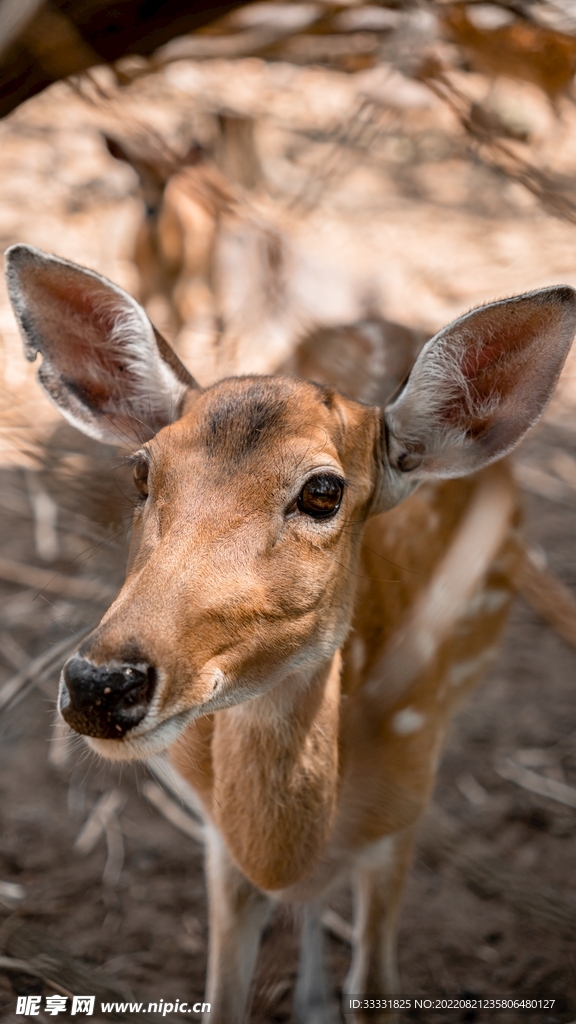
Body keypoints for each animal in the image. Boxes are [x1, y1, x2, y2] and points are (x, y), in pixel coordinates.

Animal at [5, 242, 576, 1023]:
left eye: (323, 492)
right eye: (142, 471)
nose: (102, 685)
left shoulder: (404, 815)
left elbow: (376, 992)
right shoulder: (219, 844)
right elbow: (222, 1000)